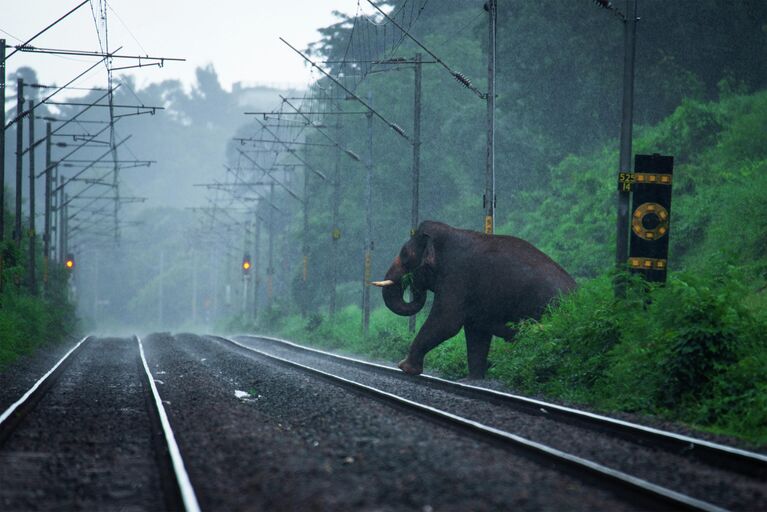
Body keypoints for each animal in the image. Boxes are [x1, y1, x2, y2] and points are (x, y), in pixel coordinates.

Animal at [372, 221, 576, 380]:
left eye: (405, 254)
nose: (413, 284)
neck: (450, 232)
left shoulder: (457, 275)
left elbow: (446, 322)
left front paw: (404, 367)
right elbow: (476, 330)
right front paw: (471, 380)